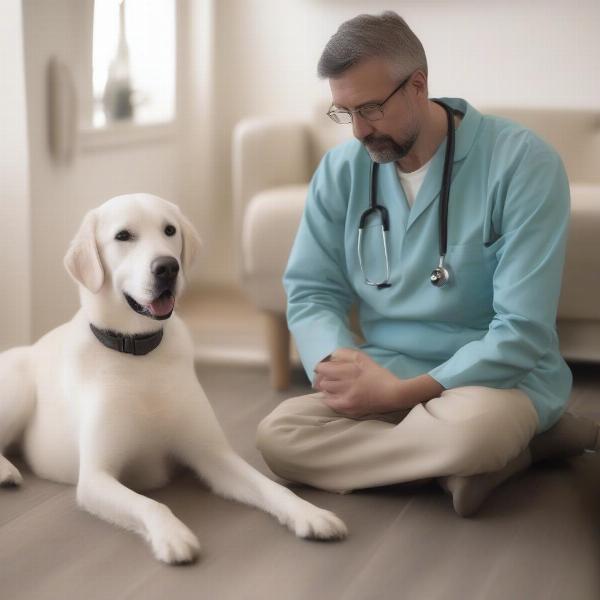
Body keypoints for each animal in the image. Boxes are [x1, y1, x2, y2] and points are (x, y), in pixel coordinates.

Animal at [0, 195, 346, 564]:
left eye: (169, 230)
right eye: (123, 236)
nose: (167, 267)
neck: (139, 355)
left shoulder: (213, 455)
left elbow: (272, 487)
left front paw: (310, 513)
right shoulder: (96, 478)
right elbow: (152, 505)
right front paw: (174, 536)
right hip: (17, 389)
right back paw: (6, 471)